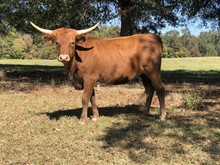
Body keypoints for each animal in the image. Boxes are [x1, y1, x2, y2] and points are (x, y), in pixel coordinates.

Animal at [30, 21, 166, 124]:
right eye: (57, 43)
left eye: (72, 42)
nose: (63, 57)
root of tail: (154, 36)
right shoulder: (90, 80)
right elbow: (92, 97)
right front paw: (95, 116)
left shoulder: (89, 78)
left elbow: (85, 98)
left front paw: (83, 120)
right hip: (144, 74)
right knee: (150, 90)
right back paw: (145, 113)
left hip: (153, 71)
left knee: (159, 89)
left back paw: (162, 116)